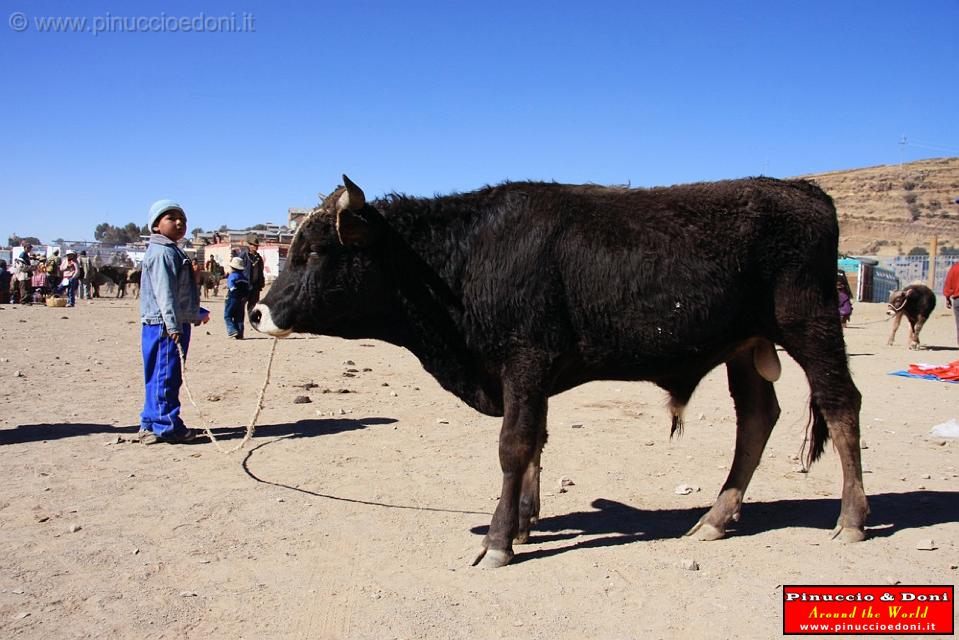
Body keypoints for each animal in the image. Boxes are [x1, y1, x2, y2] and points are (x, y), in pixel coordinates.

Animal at [251, 174, 868, 564]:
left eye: (313, 252)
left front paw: (498, 540)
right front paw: (525, 522)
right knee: (756, 420)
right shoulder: (529, 377)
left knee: (841, 406)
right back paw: (715, 519)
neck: (465, 257)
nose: (258, 311)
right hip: (745, 346)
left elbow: (514, 445)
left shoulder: (525, 361)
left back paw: (852, 520)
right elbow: (536, 444)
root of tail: (802, 190)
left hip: (809, 324)